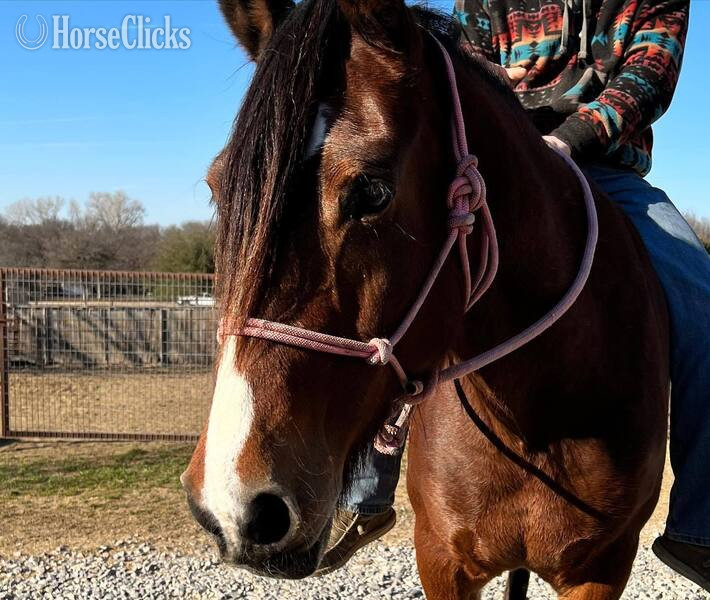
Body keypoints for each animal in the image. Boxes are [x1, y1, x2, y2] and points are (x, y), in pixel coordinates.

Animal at [181, 0, 670, 597]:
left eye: (372, 192)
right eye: (217, 187)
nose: (232, 506)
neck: (537, 418)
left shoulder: (602, 568)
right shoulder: (441, 558)